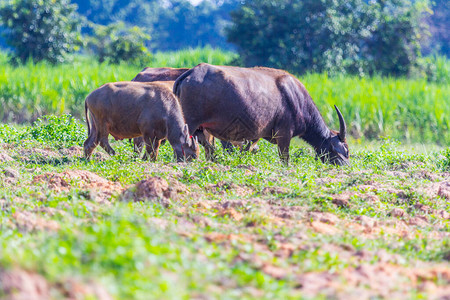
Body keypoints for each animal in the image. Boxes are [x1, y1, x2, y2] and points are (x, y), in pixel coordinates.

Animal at [174, 63, 350, 165]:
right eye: (345, 151)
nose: (346, 168)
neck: (296, 98)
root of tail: (190, 73)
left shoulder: (256, 135)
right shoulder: (284, 135)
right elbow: (285, 159)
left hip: (200, 129)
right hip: (190, 124)